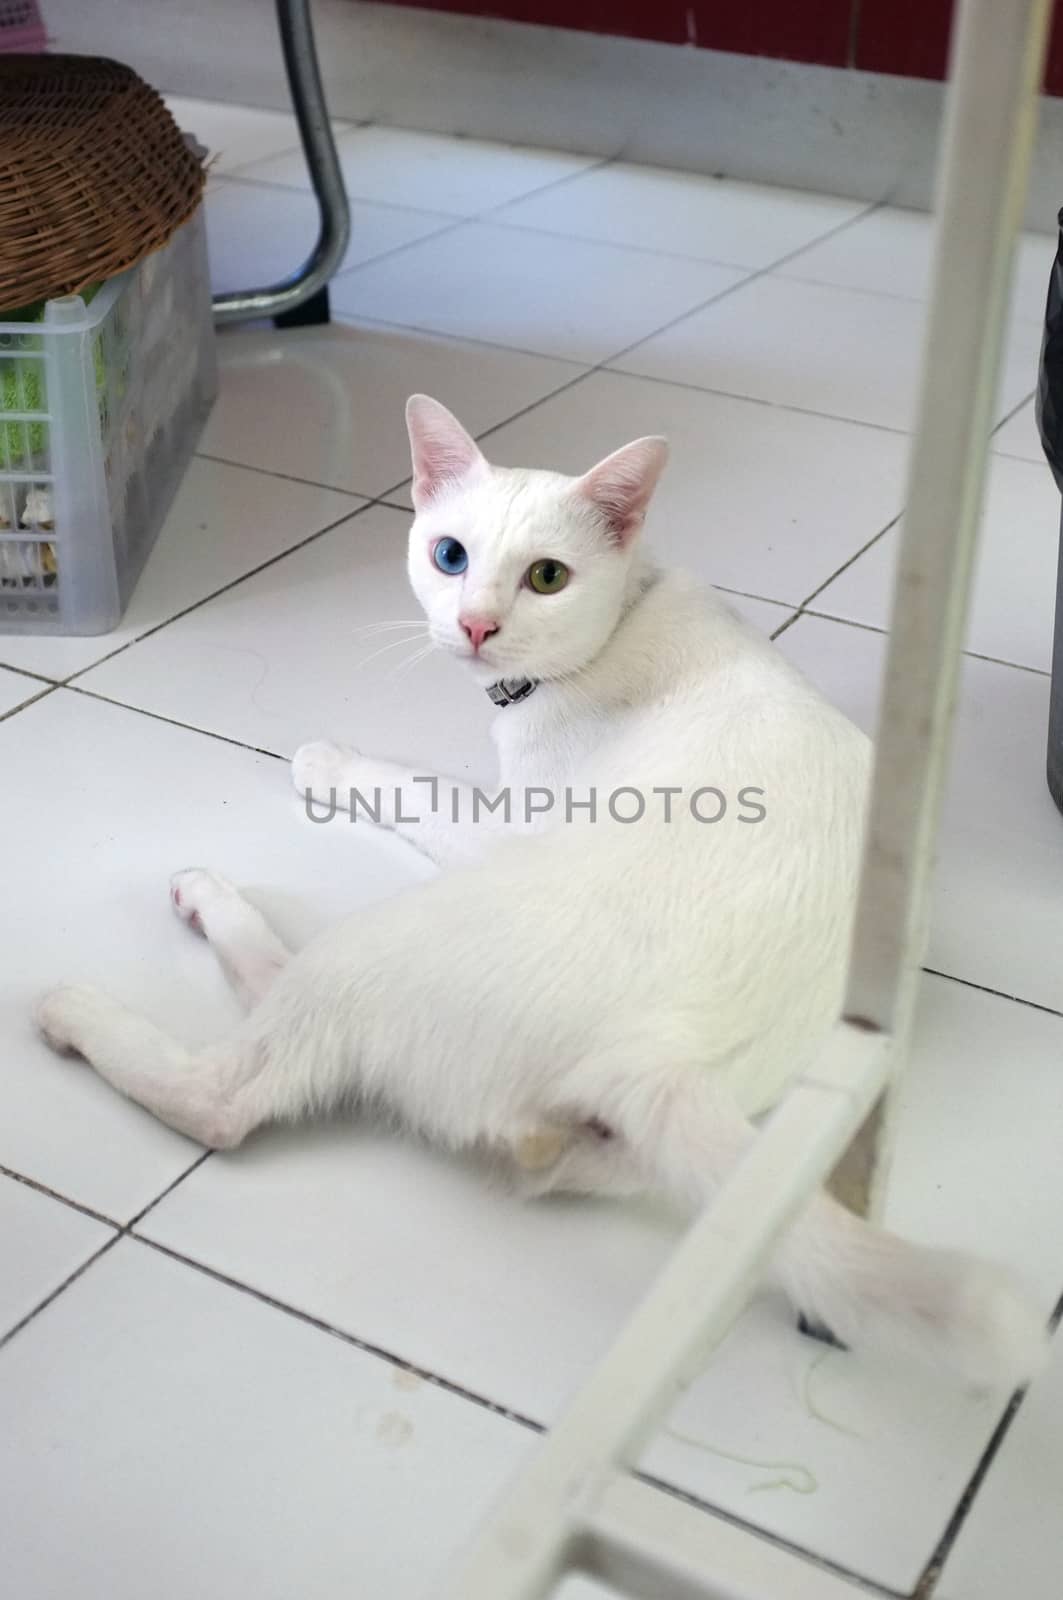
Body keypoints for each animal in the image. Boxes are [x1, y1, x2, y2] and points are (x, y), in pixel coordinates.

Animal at [39, 396, 1043, 1388]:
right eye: (450, 557)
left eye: (547, 577)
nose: (477, 626)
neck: (626, 618)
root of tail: (659, 1052)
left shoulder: (506, 825)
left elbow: (416, 788)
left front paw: (333, 764)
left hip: (384, 945)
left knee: (229, 1087)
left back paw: (111, 979)